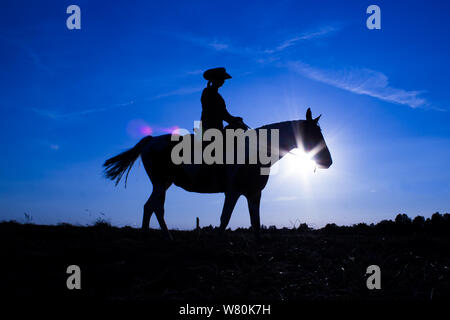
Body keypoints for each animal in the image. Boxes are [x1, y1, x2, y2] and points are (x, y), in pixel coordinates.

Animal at [103, 109, 332, 239]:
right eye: (315, 134)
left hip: (163, 185)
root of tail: (150, 141)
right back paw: (154, 238)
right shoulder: (233, 192)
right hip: (161, 183)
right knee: (152, 207)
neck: (256, 150)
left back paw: (163, 238)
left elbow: (256, 223)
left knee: (154, 208)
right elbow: (224, 218)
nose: (328, 162)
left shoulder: (254, 194)